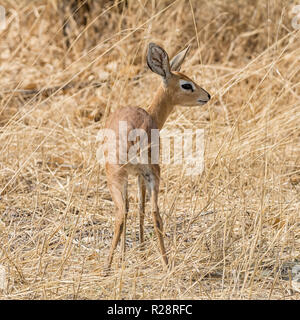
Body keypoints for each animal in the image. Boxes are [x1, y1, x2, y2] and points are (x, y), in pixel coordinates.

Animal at [104, 42, 210, 272]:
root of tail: (133, 134)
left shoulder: (137, 175)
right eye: (186, 84)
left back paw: (108, 266)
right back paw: (163, 263)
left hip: (125, 176)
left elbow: (136, 208)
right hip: (147, 173)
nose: (207, 96)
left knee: (126, 213)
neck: (151, 114)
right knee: (151, 213)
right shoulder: (138, 175)